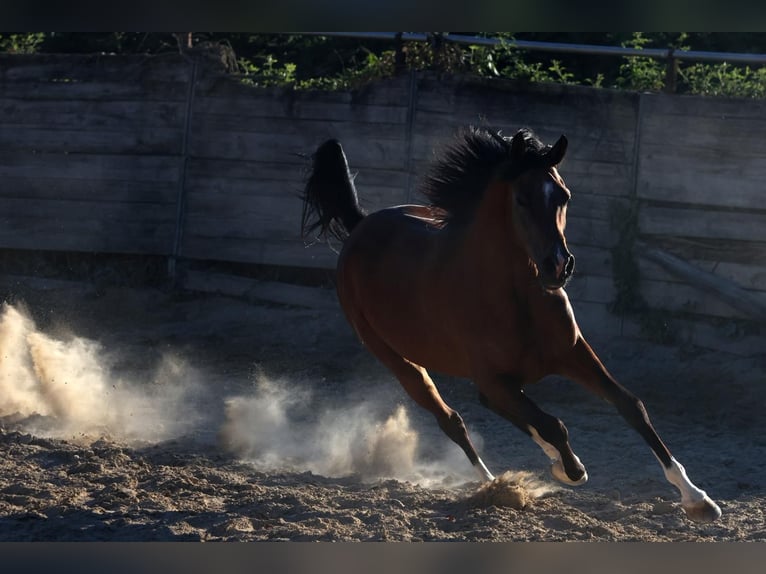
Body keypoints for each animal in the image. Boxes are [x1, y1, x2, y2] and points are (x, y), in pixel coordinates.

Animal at [300, 126, 721, 523]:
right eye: (521, 199)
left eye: (563, 196)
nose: (558, 266)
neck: (515, 296)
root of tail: (360, 226)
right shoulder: (494, 378)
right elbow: (554, 424)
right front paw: (571, 471)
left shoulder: (573, 354)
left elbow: (630, 405)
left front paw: (699, 500)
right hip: (398, 360)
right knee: (452, 420)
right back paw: (493, 484)